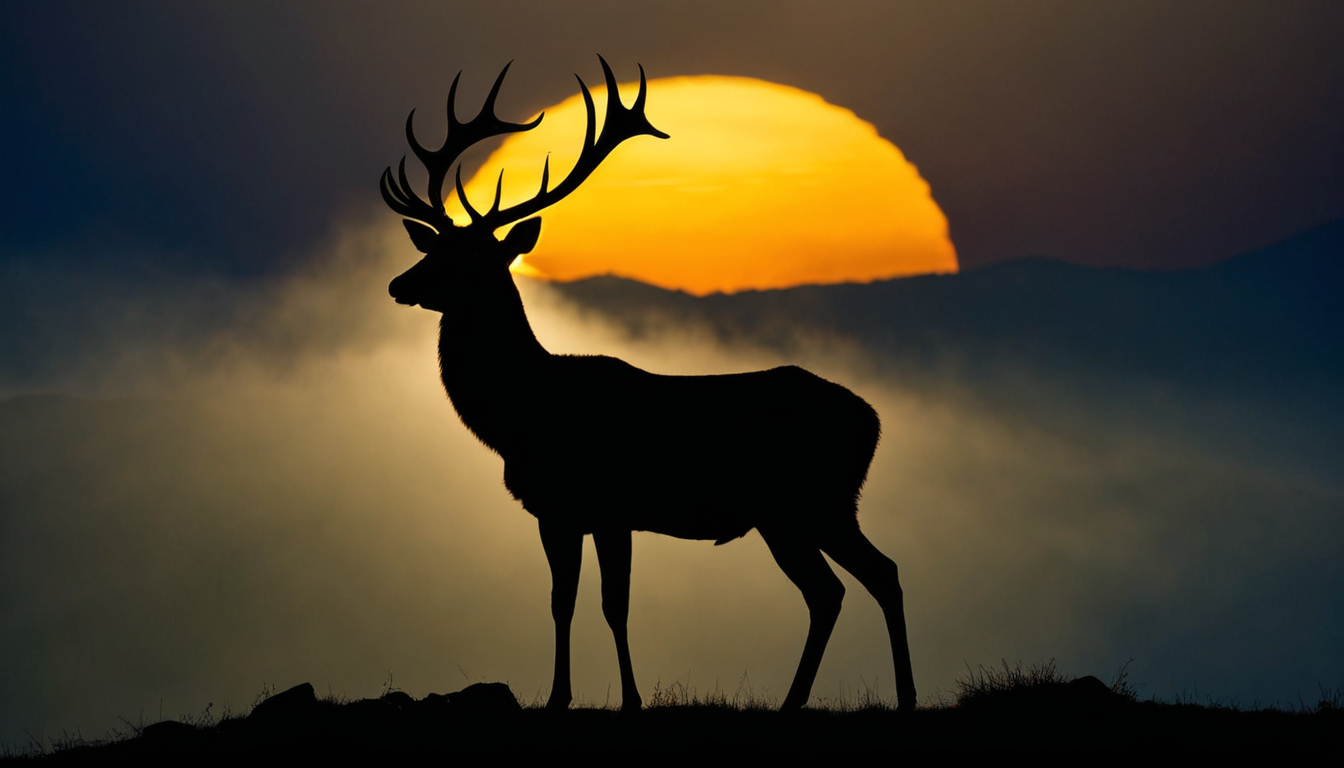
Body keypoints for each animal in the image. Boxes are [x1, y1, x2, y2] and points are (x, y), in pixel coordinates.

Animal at [380, 57, 916, 713]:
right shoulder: (556, 511)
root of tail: (873, 419)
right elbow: (561, 603)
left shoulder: (611, 506)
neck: (522, 412)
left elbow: (614, 605)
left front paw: (630, 698)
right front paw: (559, 697)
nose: (398, 284)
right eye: (436, 248)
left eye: (469, 259)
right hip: (801, 511)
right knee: (849, 585)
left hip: (812, 501)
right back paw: (827, 700)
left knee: (860, 580)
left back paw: (881, 697)